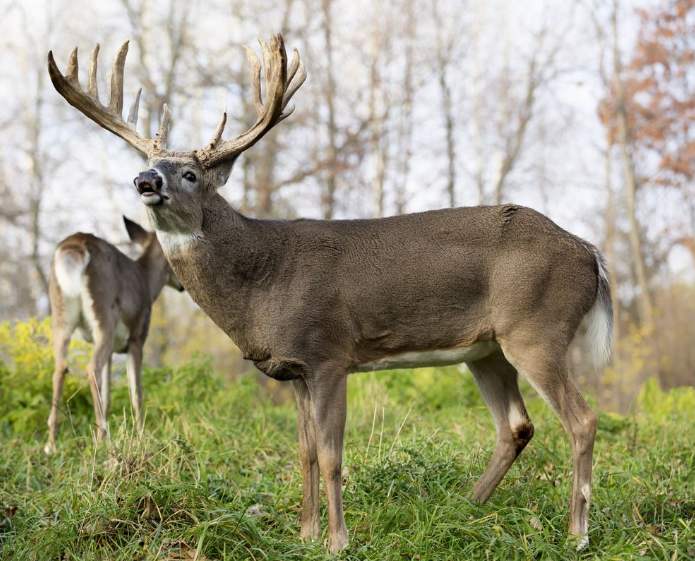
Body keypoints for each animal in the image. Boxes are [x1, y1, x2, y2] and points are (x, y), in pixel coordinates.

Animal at [44, 215, 184, 456]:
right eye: (174, 260)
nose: (183, 285)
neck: (148, 284)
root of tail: (74, 246)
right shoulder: (137, 338)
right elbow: (136, 393)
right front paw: (141, 437)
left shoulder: (113, 351)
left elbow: (108, 394)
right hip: (104, 316)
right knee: (91, 367)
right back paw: (104, 437)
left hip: (61, 316)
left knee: (60, 368)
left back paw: (52, 444)